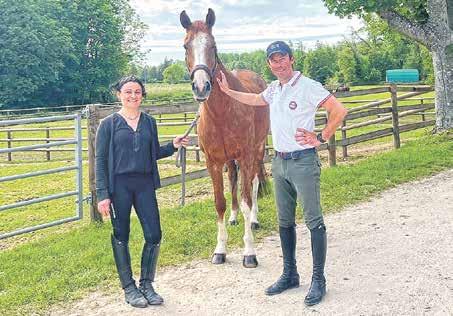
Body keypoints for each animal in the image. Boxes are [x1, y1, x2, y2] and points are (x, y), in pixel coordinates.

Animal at [181, 8, 268, 268]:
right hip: (231, 160)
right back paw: (234, 217)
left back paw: (254, 220)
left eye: (213, 45)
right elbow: (219, 202)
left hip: (258, 150)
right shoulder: (213, 162)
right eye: (186, 46)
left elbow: (248, 198)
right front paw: (220, 250)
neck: (222, 112)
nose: (201, 87)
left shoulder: (247, 155)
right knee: (234, 183)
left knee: (254, 182)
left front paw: (249, 252)